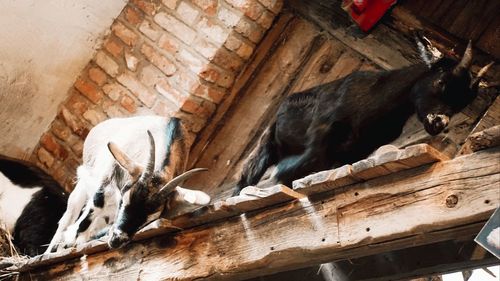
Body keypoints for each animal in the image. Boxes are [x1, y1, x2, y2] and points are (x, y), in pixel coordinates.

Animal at [235, 40, 492, 194]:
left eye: (464, 103)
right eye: (441, 81)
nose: (439, 122)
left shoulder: (356, 151)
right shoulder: (319, 142)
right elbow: (290, 174)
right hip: (266, 146)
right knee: (247, 176)